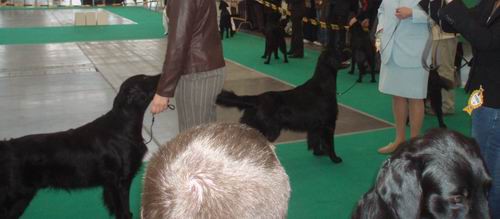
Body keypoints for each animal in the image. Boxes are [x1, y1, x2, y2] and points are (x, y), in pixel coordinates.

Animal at [0, 74, 159, 219]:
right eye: (145, 78)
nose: (161, 74)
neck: (123, 125)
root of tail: (6, 146)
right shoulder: (121, 182)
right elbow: (125, 211)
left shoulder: (110, 184)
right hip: (17, 195)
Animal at [217, 49, 350, 163]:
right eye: (339, 50)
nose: (349, 51)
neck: (323, 86)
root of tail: (257, 98)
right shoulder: (329, 123)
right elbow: (330, 143)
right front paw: (335, 158)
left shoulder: (316, 125)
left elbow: (315, 140)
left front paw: (319, 152)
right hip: (270, 130)